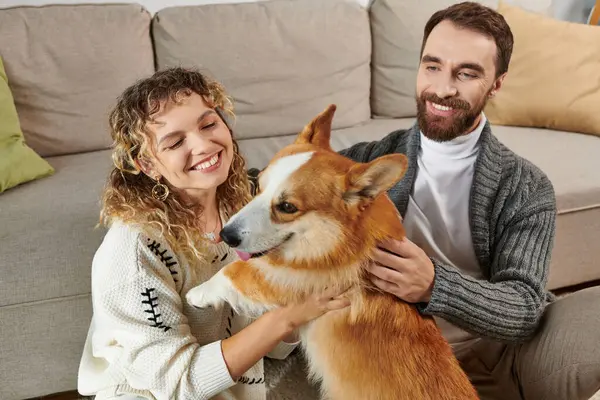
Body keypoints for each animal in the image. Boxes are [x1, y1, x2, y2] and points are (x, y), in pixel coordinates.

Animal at [188, 104, 478, 398]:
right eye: (257, 185)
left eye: (288, 207)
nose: (226, 235)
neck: (340, 238)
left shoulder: (291, 279)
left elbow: (234, 271)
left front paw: (197, 294)